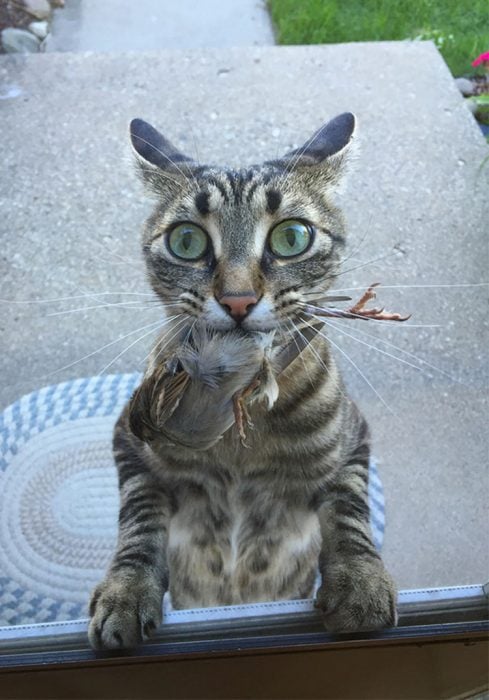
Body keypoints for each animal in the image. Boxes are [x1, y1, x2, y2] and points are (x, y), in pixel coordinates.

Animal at [87, 113, 396, 652]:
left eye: (292, 237)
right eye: (186, 241)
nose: (237, 300)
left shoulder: (355, 440)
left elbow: (348, 506)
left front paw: (361, 581)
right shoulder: (129, 439)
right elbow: (139, 520)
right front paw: (125, 591)